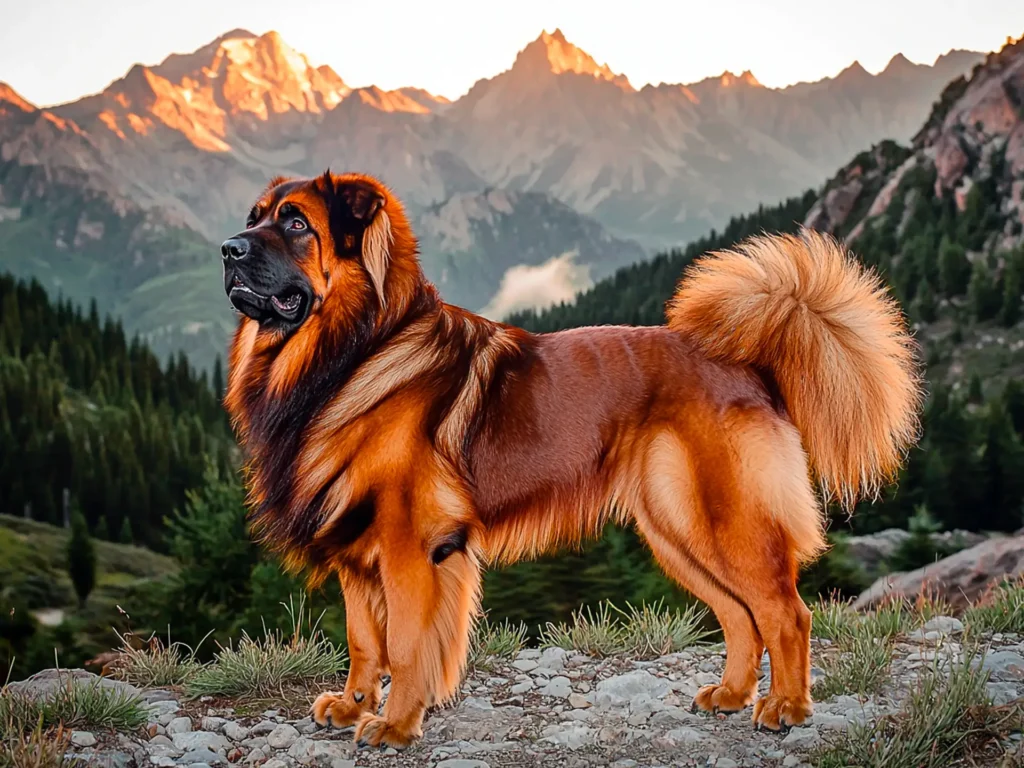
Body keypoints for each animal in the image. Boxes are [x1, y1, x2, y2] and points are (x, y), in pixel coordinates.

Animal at [220, 171, 925, 749]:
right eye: (254, 217)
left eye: (295, 223)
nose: (228, 250)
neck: (354, 352)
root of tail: (748, 363)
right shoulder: (357, 543)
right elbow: (365, 638)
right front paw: (353, 704)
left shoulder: (410, 546)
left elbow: (409, 643)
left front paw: (394, 725)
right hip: (677, 530)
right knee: (739, 614)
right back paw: (731, 694)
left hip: (727, 522)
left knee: (786, 612)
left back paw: (786, 707)